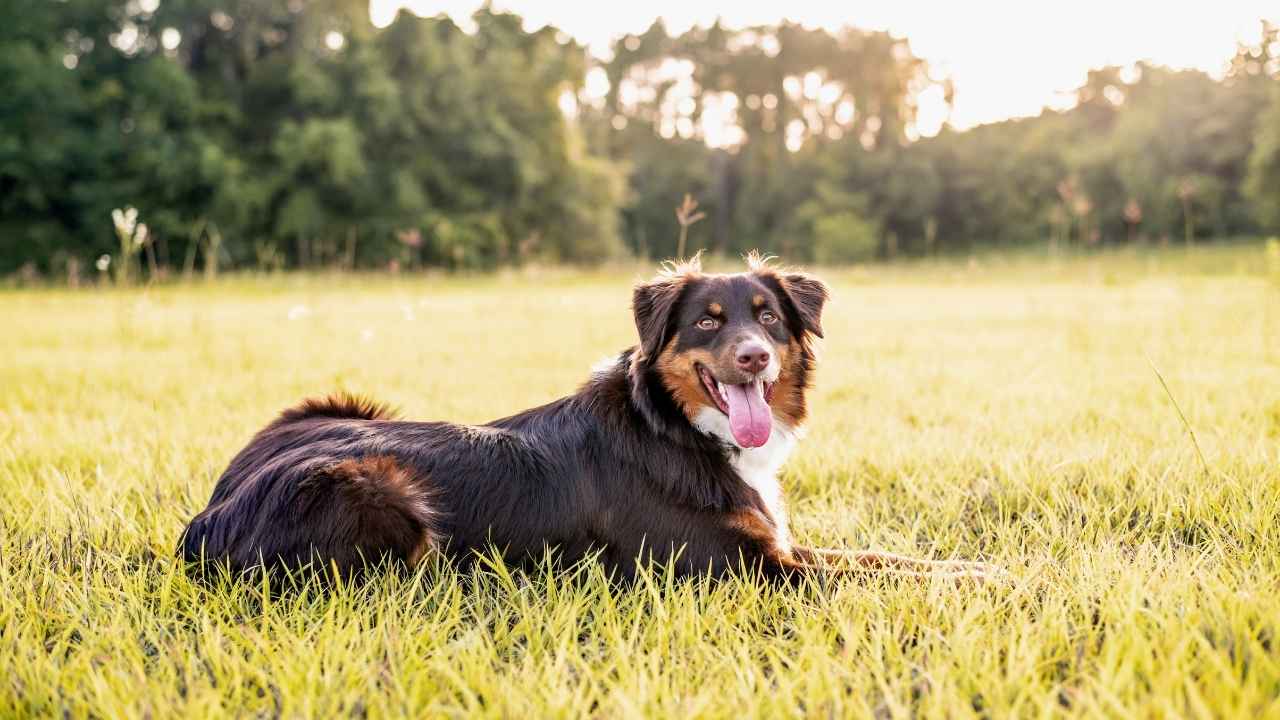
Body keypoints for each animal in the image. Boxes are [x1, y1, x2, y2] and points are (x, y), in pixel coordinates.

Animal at [180, 254, 998, 579]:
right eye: (706, 322)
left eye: (768, 316)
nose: (754, 358)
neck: (678, 430)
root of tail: (210, 510)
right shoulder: (743, 571)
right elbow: (875, 580)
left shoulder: (780, 549)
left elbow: (894, 562)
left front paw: (995, 572)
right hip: (377, 489)